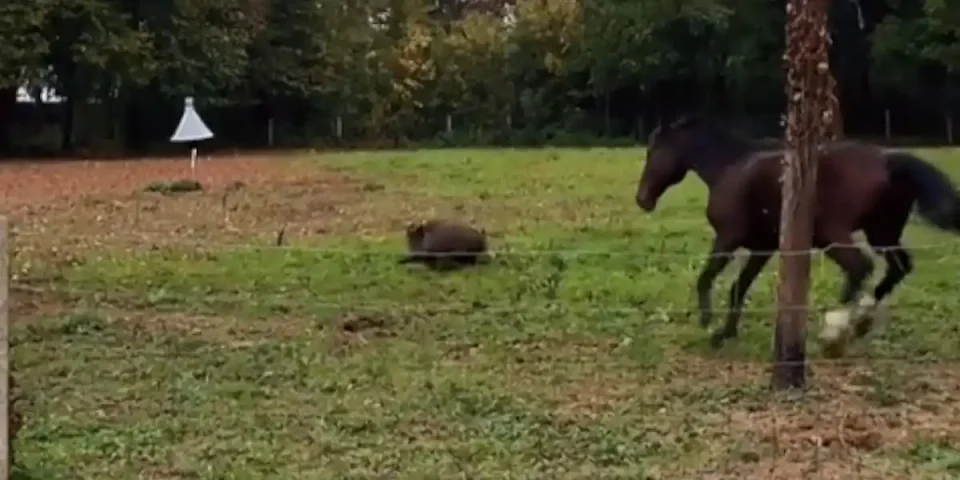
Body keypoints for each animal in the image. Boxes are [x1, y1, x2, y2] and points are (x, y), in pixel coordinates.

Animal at [634, 115, 960, 350]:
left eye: (653, 152)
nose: (642, 199)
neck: (730, 166)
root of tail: (889, 159)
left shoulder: (728, 238)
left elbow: (707, 278)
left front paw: (708, 323)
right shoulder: (762, 248)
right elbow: (739, 287)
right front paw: (725, 333)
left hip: (835, 235)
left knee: (860, 267)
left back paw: (838, 328)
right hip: (882, 234)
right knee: (898, 268)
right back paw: (861, 321)